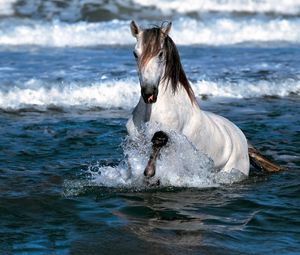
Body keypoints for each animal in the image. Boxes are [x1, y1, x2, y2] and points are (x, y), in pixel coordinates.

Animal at [126, 20, 284, 179]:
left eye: (160, 53)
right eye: (135, 54)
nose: (149, 93)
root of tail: (243, 140)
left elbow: (158, 139)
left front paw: (149, 171)